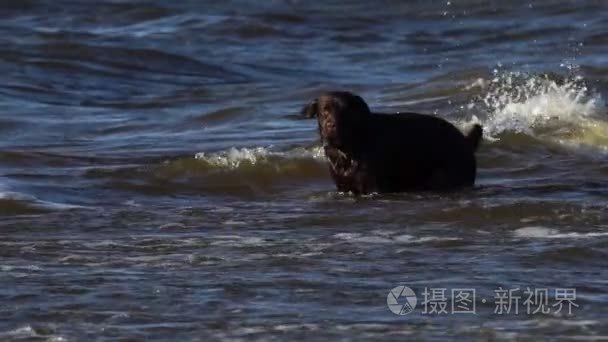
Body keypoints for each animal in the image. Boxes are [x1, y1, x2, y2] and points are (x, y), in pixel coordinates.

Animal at [302, 91, 482, 195]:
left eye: (345, 111)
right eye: (324, 111)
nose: (331, 125)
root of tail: (466, 141)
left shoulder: (374, 188)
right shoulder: (344, 188)